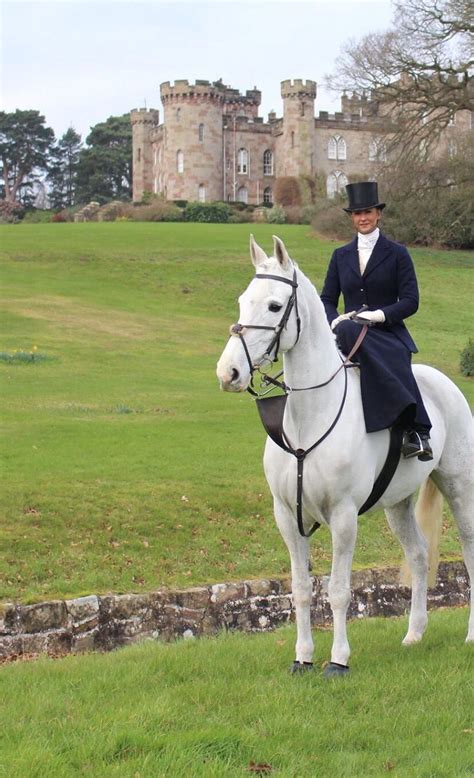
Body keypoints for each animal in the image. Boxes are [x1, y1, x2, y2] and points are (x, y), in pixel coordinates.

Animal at [217, 235, 472, 672]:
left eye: (274, 306)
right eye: (242, 300)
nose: (228, 373)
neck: (309, 416)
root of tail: (442, 380)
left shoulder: (343, 516)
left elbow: (338, 590)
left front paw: (337, 660)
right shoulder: (287, 516)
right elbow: (301, 589)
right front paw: (302, 657)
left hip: (459, 489)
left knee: (471, 550)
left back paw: (471, 635)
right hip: (397, 505)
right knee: (419, 555)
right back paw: (414, 634)